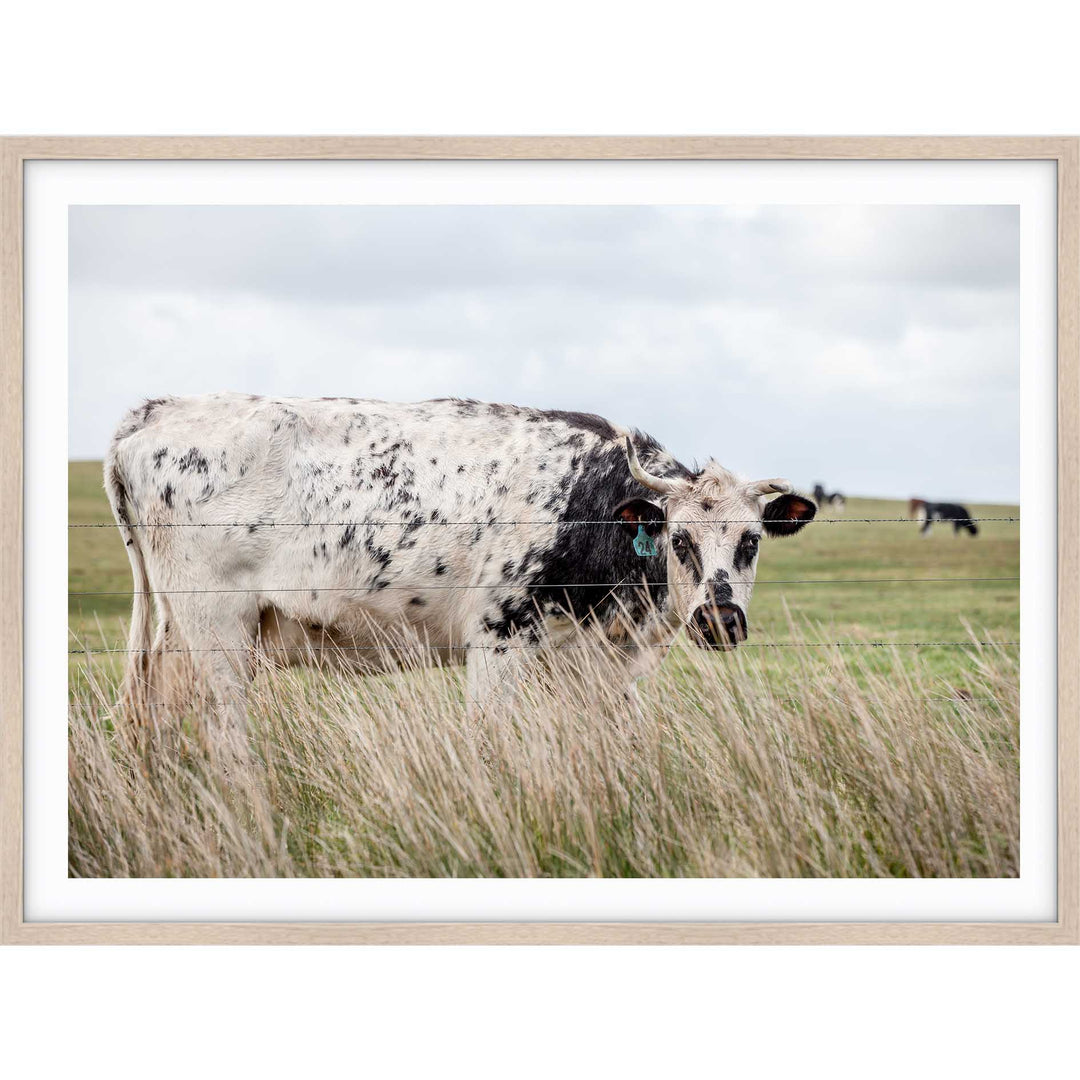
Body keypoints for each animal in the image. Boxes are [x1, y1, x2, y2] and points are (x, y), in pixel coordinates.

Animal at [106, 394, 816, 740]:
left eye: (752, 539)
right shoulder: (499, 637)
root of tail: (159, 410)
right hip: (217, 630)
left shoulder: (593, 669)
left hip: (172, 634)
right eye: (680, 538)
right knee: (225, 730)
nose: (719, 620)